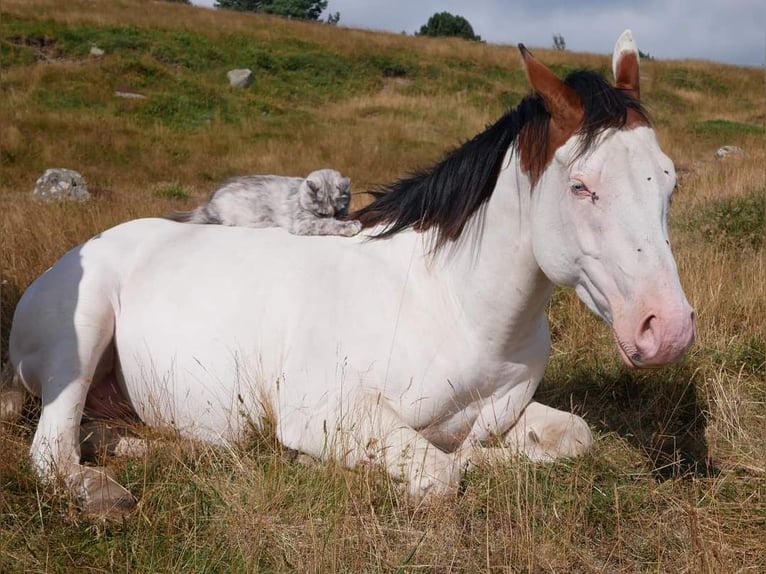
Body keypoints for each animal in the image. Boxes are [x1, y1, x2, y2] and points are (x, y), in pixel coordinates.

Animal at [170, 169, 362, 236]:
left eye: (339, 212)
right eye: (322, 213)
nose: (335, 217)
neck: (299, 194)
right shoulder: (303, 223)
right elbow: (326, 225)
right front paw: (349, 226)